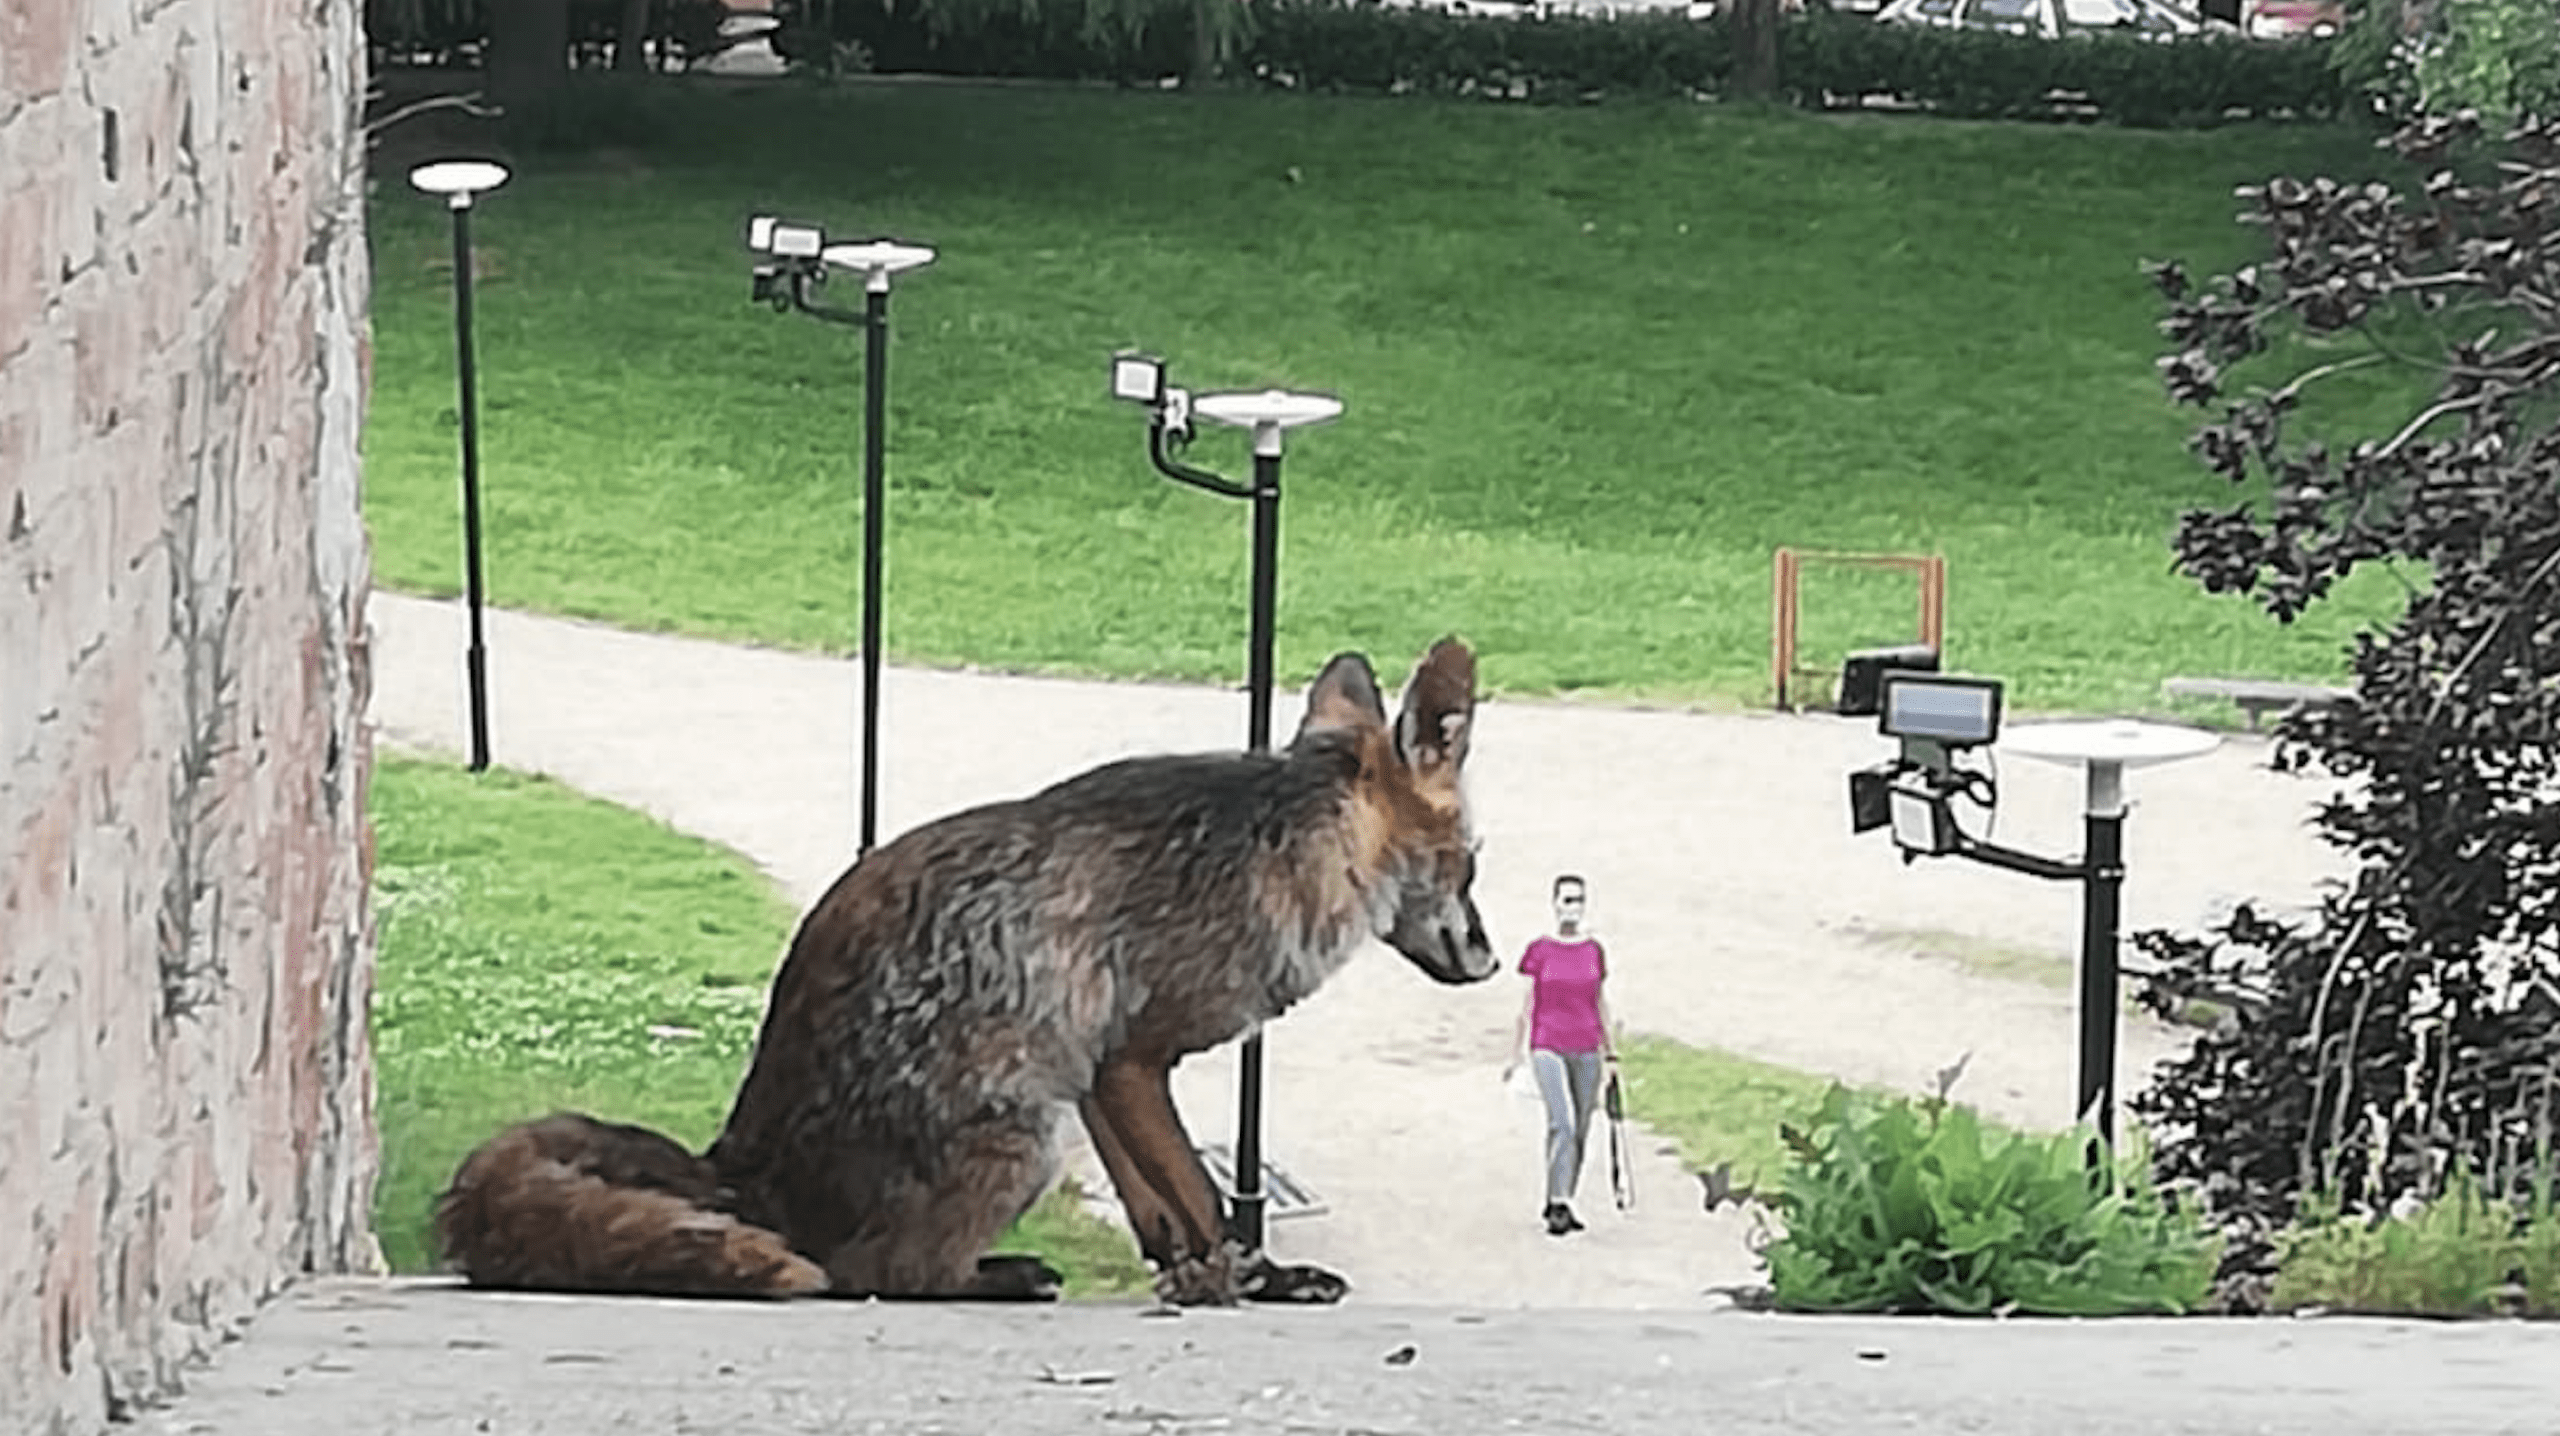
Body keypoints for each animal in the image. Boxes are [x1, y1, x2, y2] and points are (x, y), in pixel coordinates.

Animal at [433, 637, 1496, 1305]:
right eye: (1472, 864)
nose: (1488, 961)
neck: (1286, 845)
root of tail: (742, 1165)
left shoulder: (1097, 1069)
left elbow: (1156, 1211)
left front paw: (1199, 1281)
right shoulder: (1134, 1057)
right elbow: (1197, 1195)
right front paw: (1250, 1281)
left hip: (1044, 1111)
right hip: (1022, 1132)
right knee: (879, 1274)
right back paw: (999, 1276)